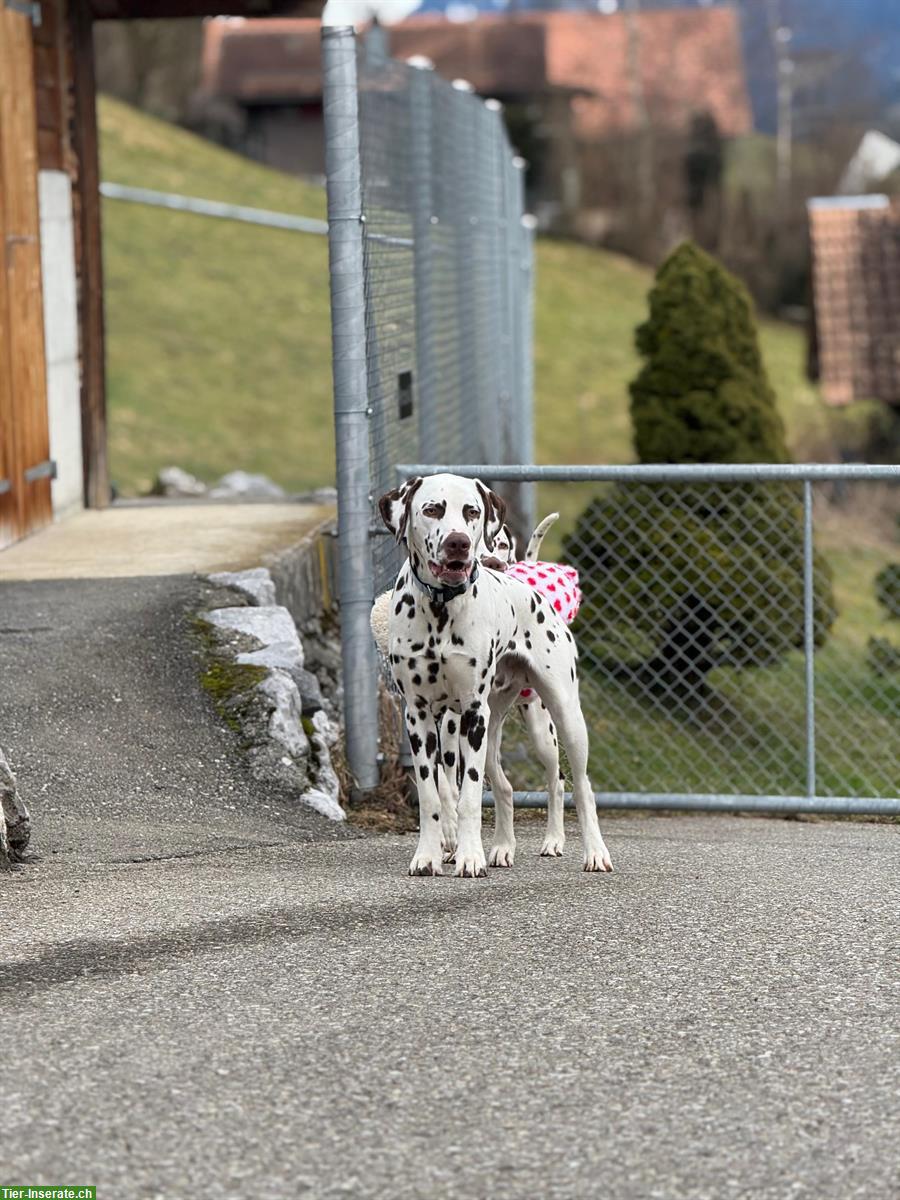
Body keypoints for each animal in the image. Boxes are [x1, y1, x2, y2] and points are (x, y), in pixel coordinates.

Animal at [376, 472, 619, 878]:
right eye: (432, 509)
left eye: (472, 511)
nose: (458, 542)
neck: (441, 610)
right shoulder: (420, 718)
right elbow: (432, 795)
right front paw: (428, 856)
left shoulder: (472, 715)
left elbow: (470, 797)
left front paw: (469, 857)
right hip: (490, 733)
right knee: (504, 787)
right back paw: (503, 847)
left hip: (559, 720)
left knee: (574, 783)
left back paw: (590, 851)